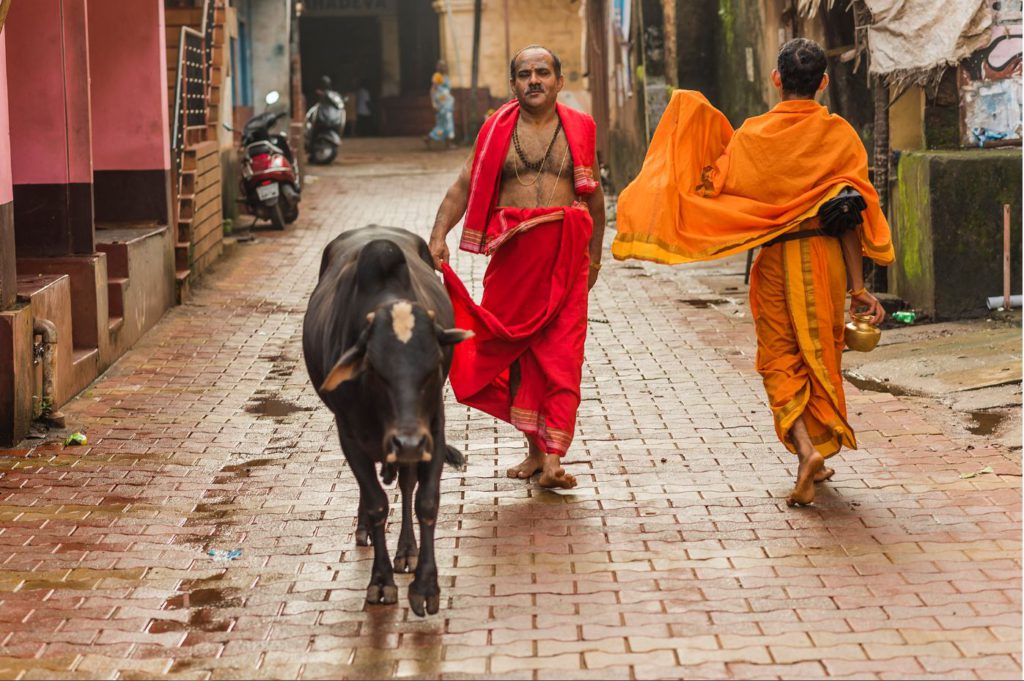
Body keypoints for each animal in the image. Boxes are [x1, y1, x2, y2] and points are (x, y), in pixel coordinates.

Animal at [299, 224, 468, 614]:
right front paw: (380, 582)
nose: (407, 442)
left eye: (433, 366)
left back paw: (406, 550)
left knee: (406, 485)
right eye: (375, 370)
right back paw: (364, 529)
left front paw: (425, 585)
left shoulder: (432, 428)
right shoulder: (349, 432)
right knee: (371, 491)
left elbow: (426, 500)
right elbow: (376, 502)